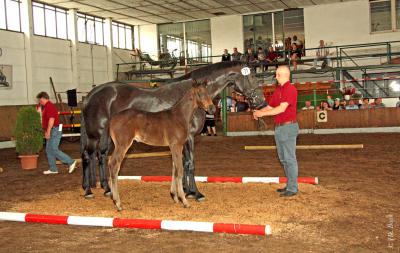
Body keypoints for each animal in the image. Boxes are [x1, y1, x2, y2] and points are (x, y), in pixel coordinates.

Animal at [107, 80, 216, 211]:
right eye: (199, 93)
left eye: (208, 92)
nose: (212, 108)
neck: (179, 116)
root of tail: (113, 120)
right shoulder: (176, 145)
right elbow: (179, 170)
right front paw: (184, 201)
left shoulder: (175, 147)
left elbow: (174, 168)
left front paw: (174, 197)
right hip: (123, 145)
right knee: (114, 165)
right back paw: (118, 203)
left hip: (117, 145)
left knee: (110, 161)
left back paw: (113, 196)